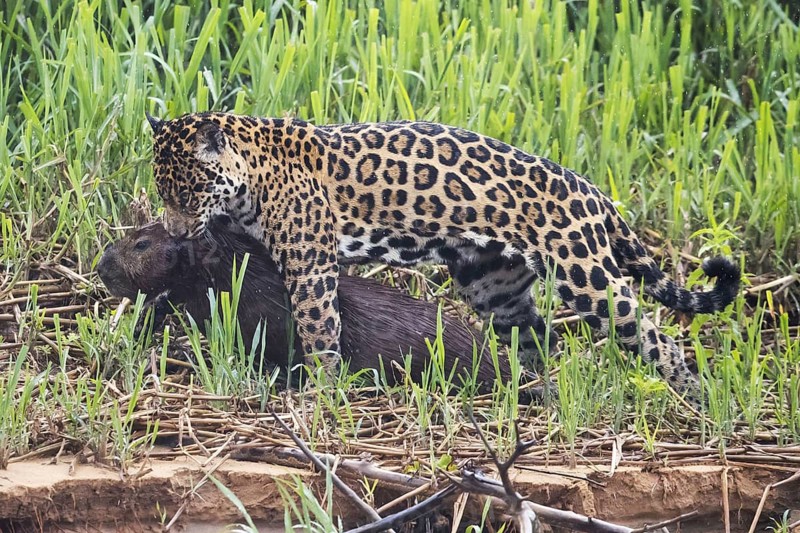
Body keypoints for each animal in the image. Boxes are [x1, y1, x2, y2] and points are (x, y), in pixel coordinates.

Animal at [146, 111, 740, 406]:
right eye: (162, 190)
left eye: (188, 191)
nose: (175, 230)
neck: (249, 172)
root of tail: (592, 190)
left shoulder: (311, 265)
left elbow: (319, 328)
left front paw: (321, 392)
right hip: (492, 284)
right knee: (536, 336)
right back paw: (527, 391)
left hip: (585, 273)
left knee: (655, 336)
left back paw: (698, 399)